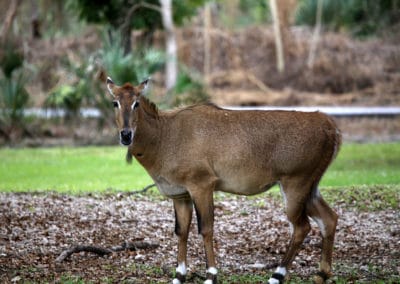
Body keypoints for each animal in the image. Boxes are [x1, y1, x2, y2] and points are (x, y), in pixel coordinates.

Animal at [107, 77, 344, 284]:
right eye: (115, 102)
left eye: (136, 102)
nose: (126, 135)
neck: (163, 137)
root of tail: (331, 128)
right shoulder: (180, 194)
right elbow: (181, 231)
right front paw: (179, 276)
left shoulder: (202, 184)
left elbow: (206, 228)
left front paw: (211, 276)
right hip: (311, 186)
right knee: (329, 218)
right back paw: (321, 274)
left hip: (296, 183)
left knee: (302, 226)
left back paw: (277, 276)